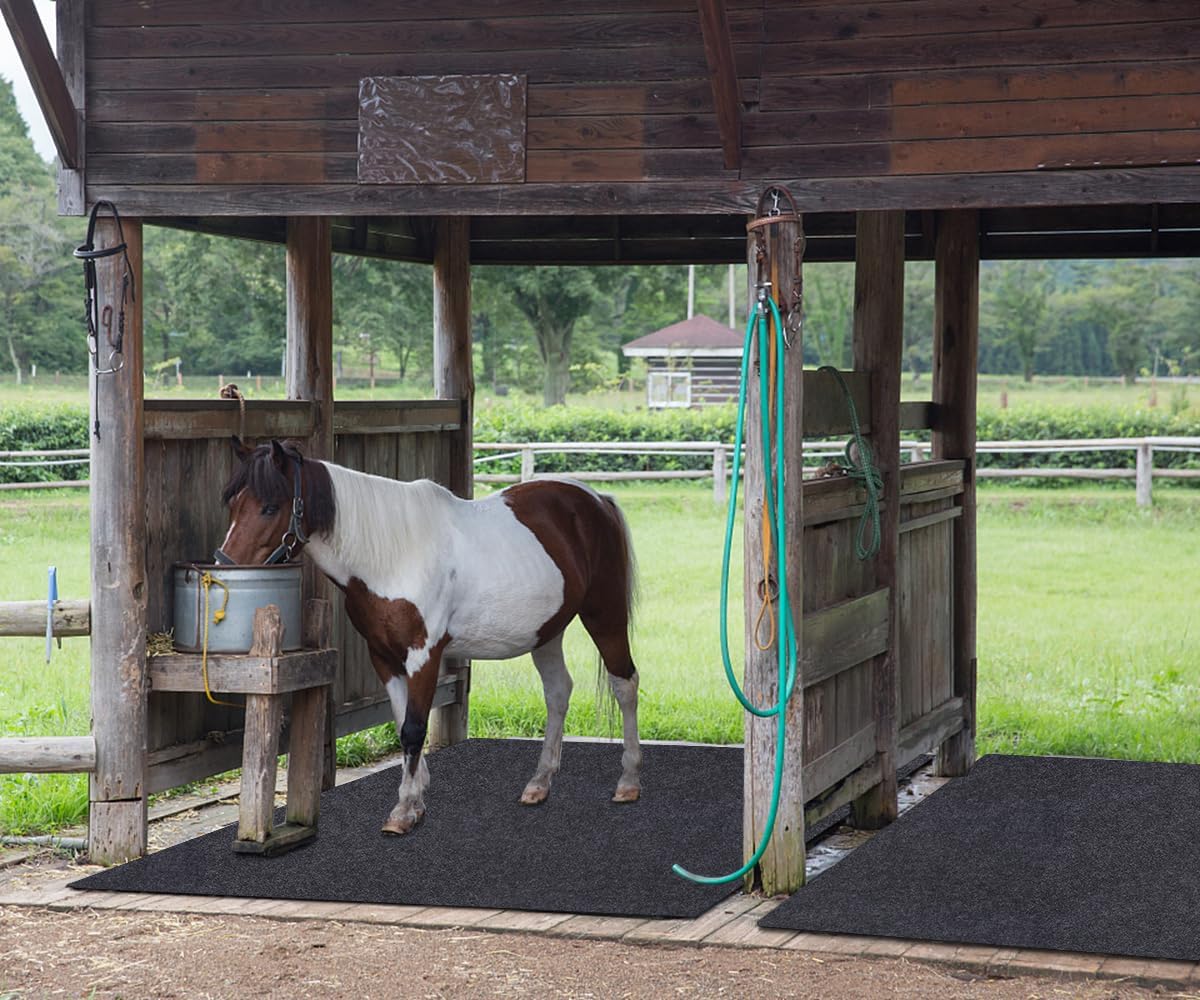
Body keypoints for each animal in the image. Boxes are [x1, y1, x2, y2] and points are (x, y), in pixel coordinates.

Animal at [218, 438, 641, 835]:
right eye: (233, 504)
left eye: (269, 507)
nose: (226, 569)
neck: (395, 556)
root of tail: (596, 501)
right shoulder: (383, 657)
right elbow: (401, 720)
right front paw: (417, 796)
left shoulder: (424, 655)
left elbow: (413, 728)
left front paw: (404, 809)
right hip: (547, 631)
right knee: (557, 692)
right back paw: (539, 783)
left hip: (604, 615)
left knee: (625, 684)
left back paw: (628, 781)